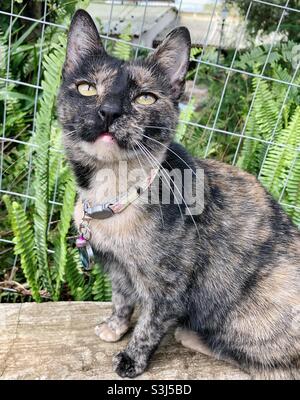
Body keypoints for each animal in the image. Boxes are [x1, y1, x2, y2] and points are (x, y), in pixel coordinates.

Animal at [57, 9, 298, 378]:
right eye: (87, 88)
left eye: (145, 97)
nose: (109, 111)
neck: (114, 194)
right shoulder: (117, 268)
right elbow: (122, 299)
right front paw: (114, 327)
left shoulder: (170, 286)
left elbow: (150, 324)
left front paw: (131, 360)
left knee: (262, 361)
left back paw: (191, 335)